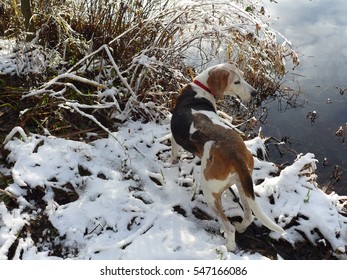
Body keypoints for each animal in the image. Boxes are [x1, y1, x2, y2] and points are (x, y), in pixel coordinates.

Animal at [170, 63, 284, 252]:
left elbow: (172, 155)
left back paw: (228, 247)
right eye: (238, 81)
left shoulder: (174, 139)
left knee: (229, 228)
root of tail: (235, 153)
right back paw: (241, 227)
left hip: (210, 192)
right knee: (248, 216)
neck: (200, 90)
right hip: (242, 184)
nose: (255, 93)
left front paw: (170, 163)